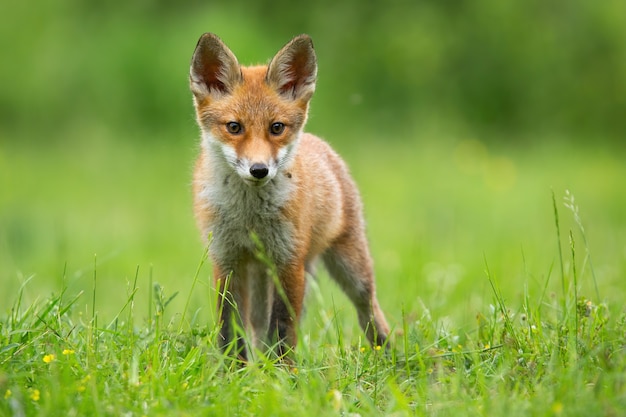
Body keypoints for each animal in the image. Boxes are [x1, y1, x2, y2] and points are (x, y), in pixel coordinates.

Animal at [188, 32, 388, 358]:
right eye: (234, 127)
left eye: (276, 127)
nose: (259, 170)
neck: (250, 218)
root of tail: (320, 143)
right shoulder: (227, 261)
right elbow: (231, 329)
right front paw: (232, 368)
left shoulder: (289, 262)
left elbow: (283, 328)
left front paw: (283, 370)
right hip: (259, 276)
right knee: (257, 327)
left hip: (351, 268)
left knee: (369, 311)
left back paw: (389, 354)